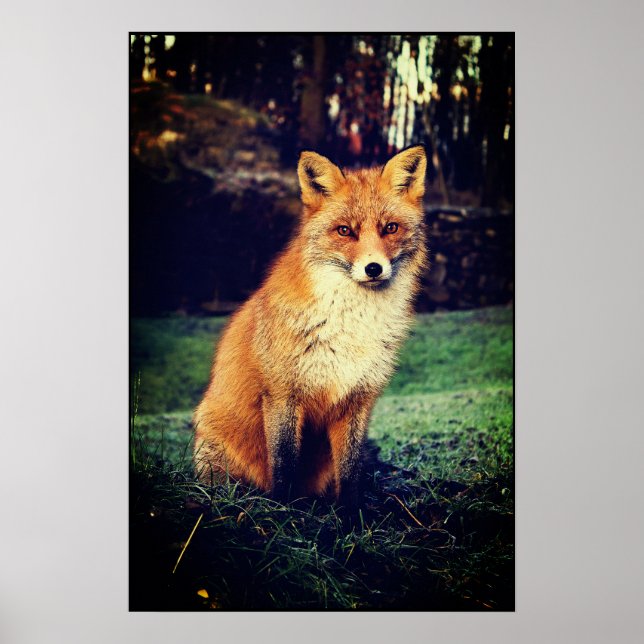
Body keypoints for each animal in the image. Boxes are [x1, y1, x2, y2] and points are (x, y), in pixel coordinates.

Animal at [193, 145, 428, 505]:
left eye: (390, 228)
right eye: (345, 231)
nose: (374, 268)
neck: (351, 326)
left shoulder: (358, 398)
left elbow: (350, 471)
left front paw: (351, 511)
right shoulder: (282, 394)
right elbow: (284, 463)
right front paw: (283, 508)